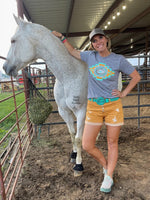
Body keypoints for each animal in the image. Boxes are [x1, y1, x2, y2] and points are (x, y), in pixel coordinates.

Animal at [2, 16, 121, 177]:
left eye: (13, 40)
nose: (5, 68)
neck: (69, 74)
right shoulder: (64, 111)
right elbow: (72, 133)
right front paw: (73, 155)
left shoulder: (81, 110)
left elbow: (78, 138)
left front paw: (78, 165)